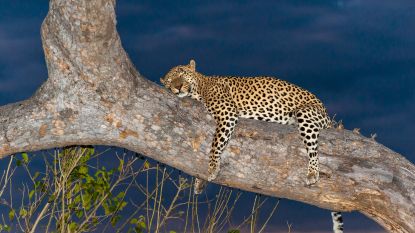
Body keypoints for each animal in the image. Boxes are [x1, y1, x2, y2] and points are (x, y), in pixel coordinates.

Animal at [161, 59, 342, 231]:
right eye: (170, 81)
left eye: (182, 74)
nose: (177, 87)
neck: (200, 87)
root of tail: (327, 115)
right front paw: (200, 182)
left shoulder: (227, 113)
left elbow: (216, 143)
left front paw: (212, 168)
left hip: (306, 114)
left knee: (313, 148)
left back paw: (312, 172)